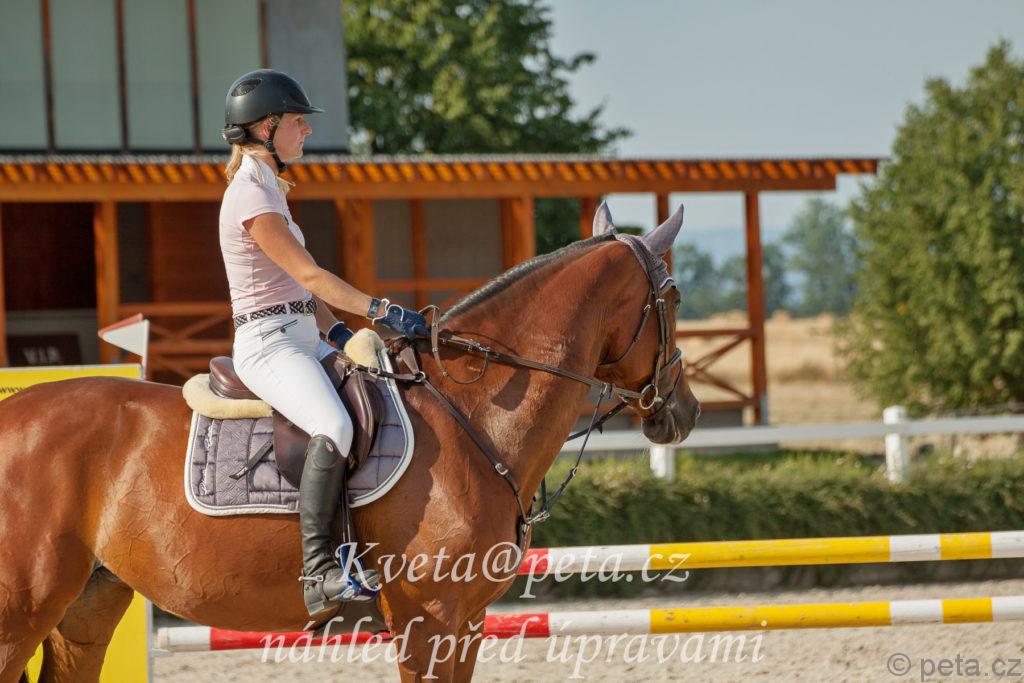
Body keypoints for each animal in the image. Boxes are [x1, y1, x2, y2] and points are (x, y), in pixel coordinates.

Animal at [0, 205, 699, 682]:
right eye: (673, 296)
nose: (685, 413)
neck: (472, 414)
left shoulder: (467, 622)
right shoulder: (429, 618)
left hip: (87, 609)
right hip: (21, 613)